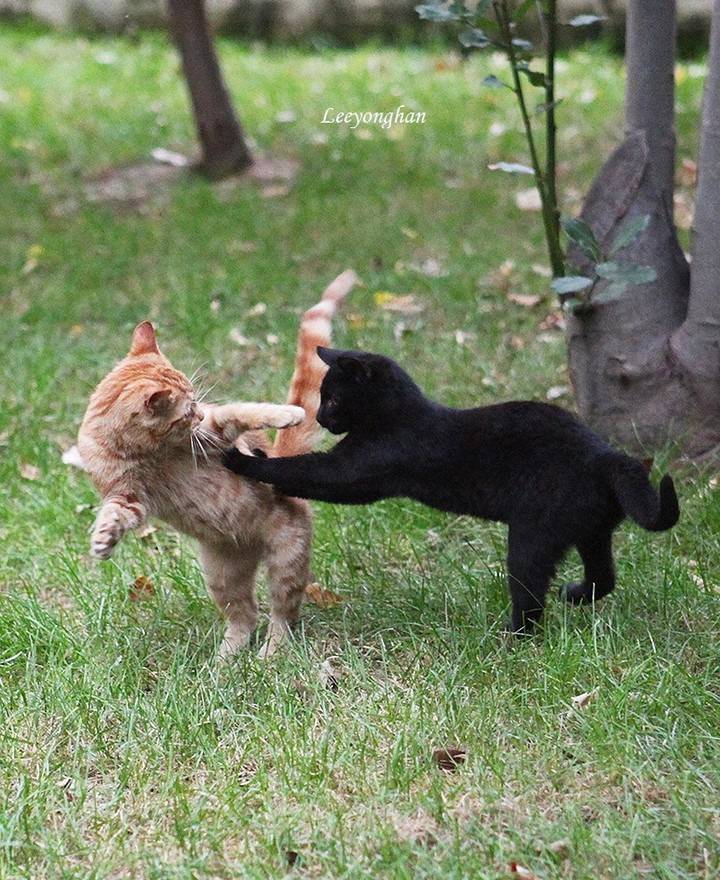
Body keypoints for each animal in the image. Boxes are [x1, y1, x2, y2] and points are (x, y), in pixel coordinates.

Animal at [77, 272, 356, 656]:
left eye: (197, 401)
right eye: (187, 409)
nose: (198, 413)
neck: (148, 454)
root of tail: (250, 547)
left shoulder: (217, 432)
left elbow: (245, 412)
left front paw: (288, 414)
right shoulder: (129, 498)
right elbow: (114, 515)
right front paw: (103, 540)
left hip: (286, 558)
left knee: (282, 614)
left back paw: (270, 654)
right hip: (222, 576)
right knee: (246, 614)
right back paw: (227, 658)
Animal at [224, 348, 676, 628]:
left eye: (332, 399)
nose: (320, 418)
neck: (400, 415)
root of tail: (604, 456)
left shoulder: (354, 472)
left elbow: (304, 472)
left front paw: (242, 459)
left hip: (532, 538)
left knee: (530, 594)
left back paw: (512, 638)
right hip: (591, 532)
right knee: (604, 576)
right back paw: (575, 595)